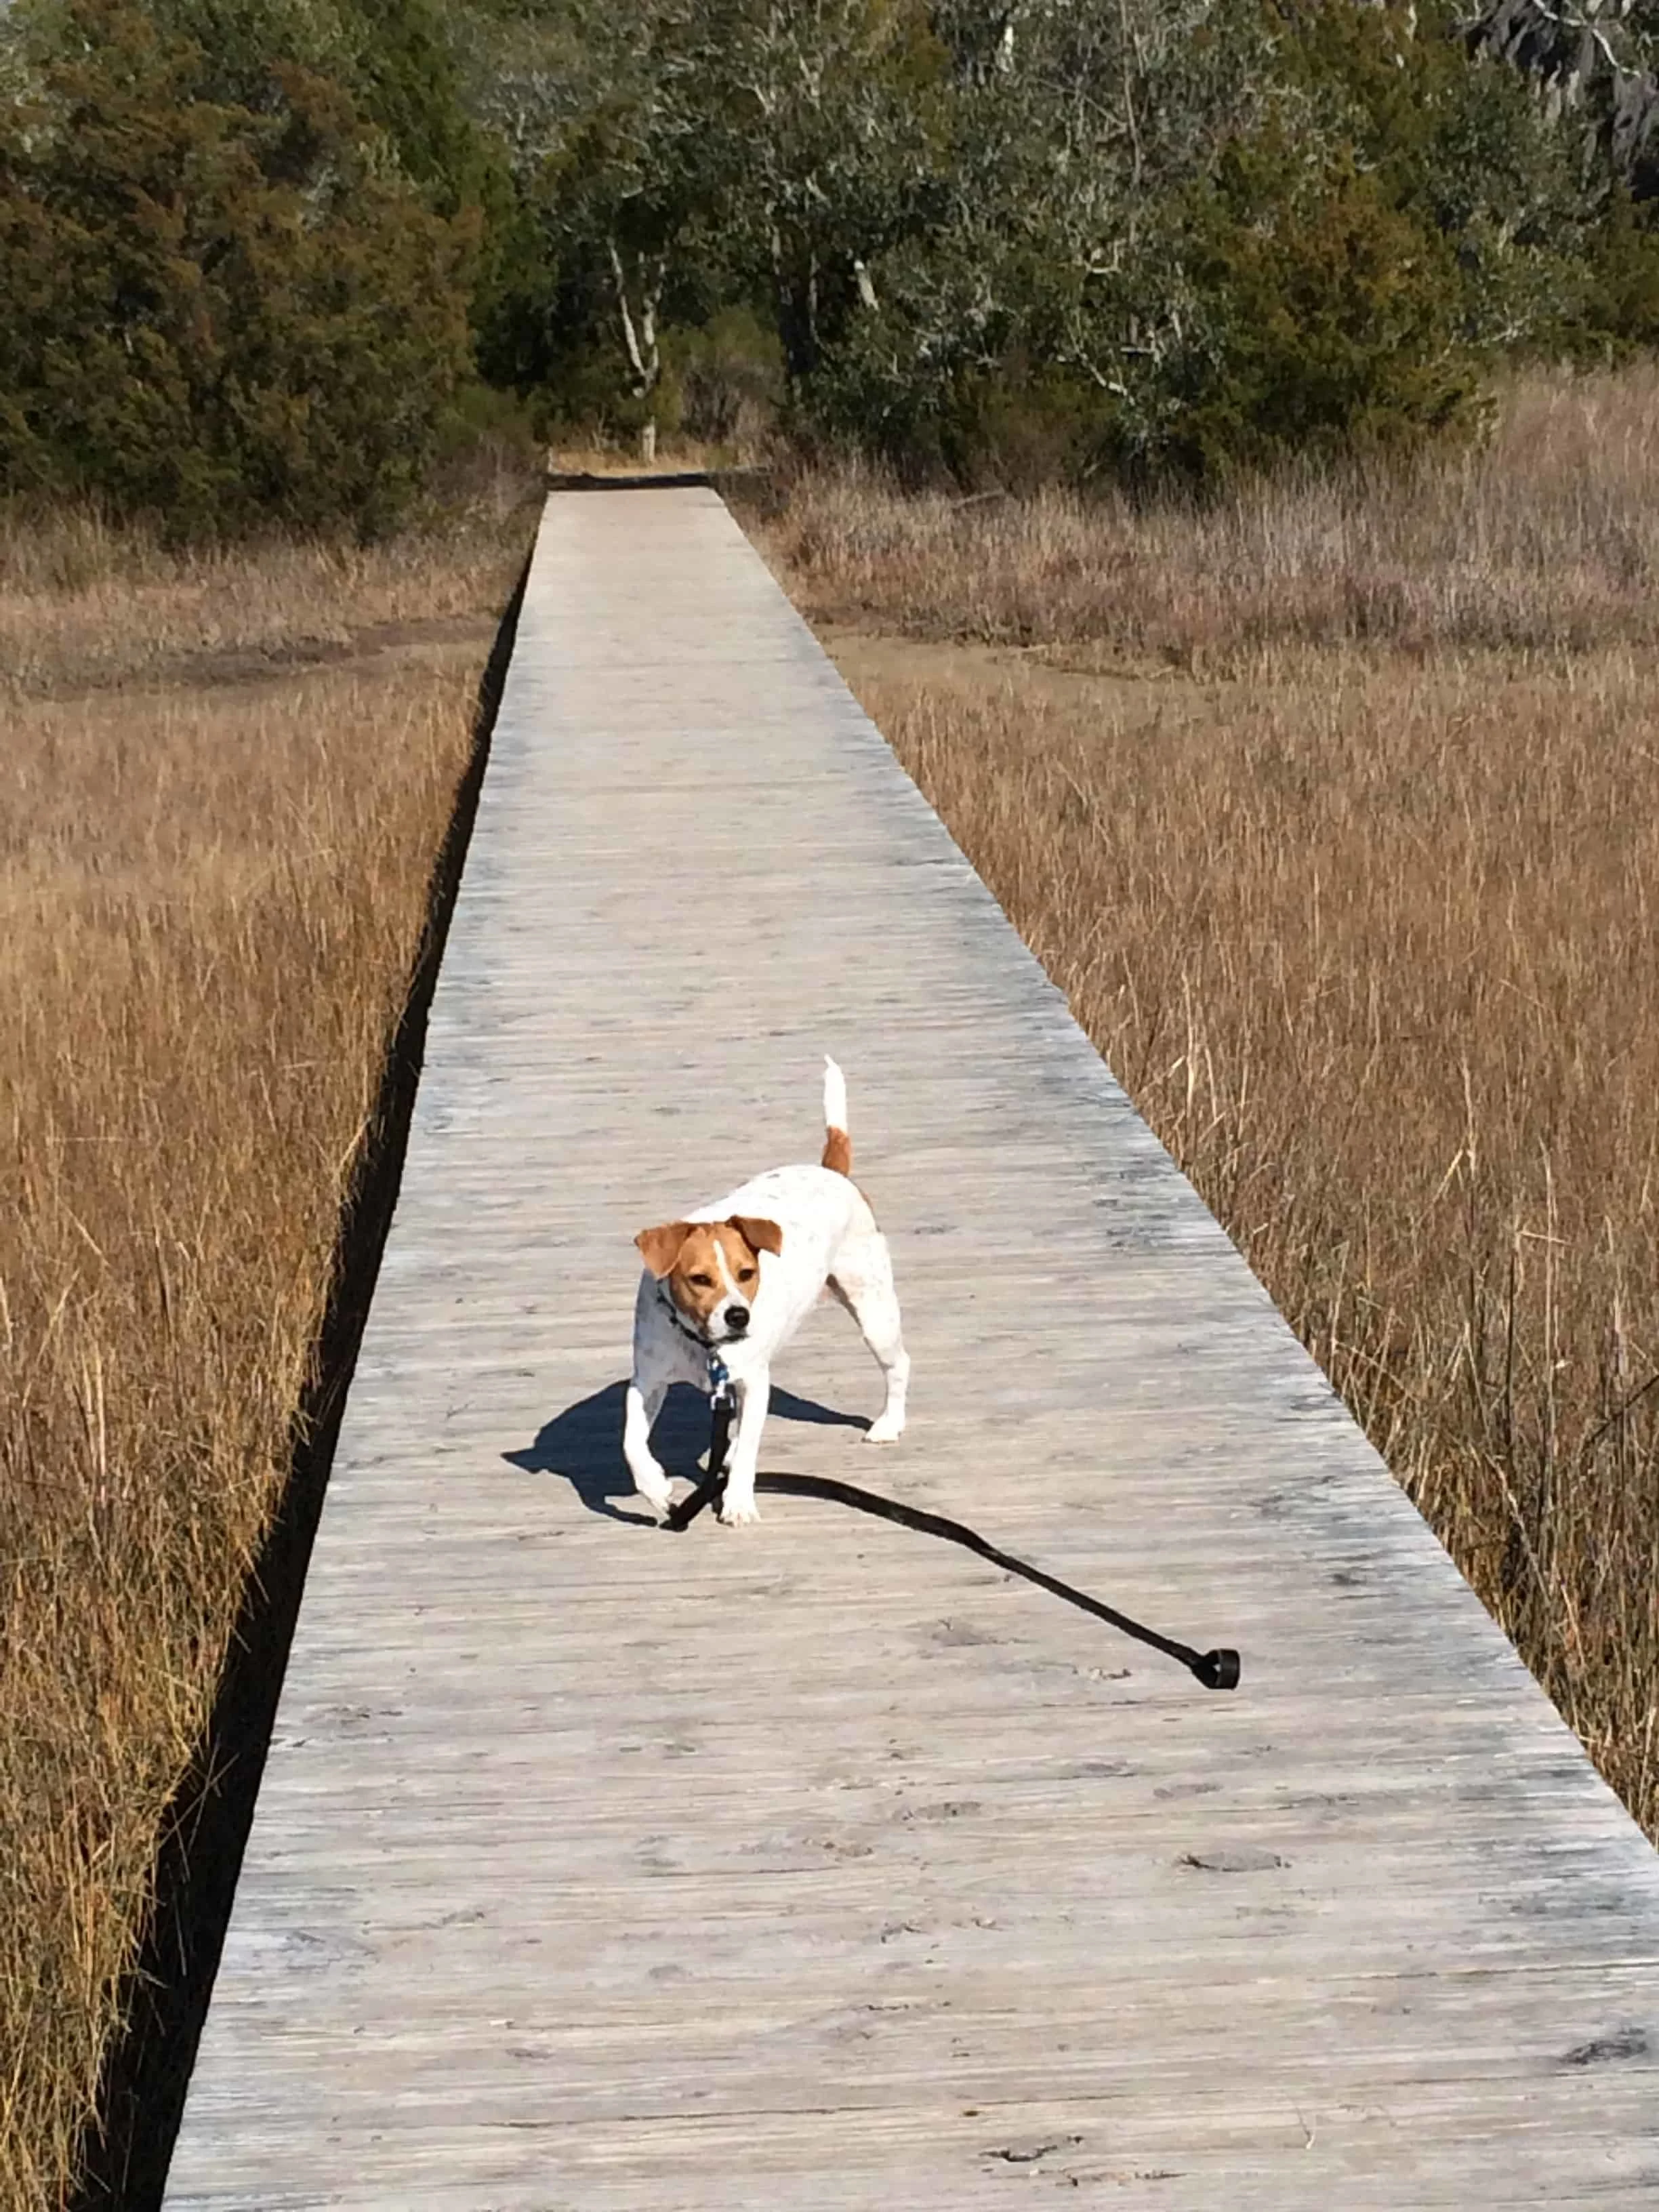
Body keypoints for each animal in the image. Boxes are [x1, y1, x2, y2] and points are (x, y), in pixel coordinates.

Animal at [623, 1066, 911, 1521]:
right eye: (699, 1279)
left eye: (747, 1273)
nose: (739, 1316)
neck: (704, 1347)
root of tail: (833, 1172)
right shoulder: (647, 1381)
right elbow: (632, 1443)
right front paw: (655, 1487)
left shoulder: (754, 1384)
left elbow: (748, 1453)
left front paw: (738, 1502)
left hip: (874, 1313)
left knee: (899, 1365)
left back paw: (888, 1423)